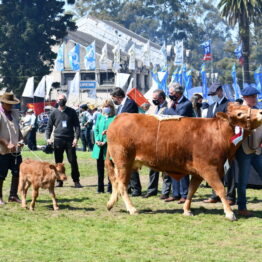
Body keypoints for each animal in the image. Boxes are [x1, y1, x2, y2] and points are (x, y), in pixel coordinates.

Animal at [105, 103, 262, 220]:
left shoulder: (199, 172)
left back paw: (110, 203)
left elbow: (191, 190)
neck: (216, 134)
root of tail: (120, 117)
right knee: (122, 185)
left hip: (125, 164)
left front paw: (187, 210)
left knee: (116, 182)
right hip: (123, 161)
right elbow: (220, 189)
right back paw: (132, 208)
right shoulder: (208, 169)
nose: (260, 111)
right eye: (240, 113)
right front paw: (229, 213)